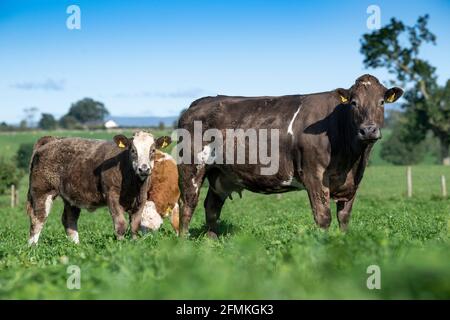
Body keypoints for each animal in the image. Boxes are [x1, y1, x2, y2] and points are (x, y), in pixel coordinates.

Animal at [26, 131, 171, 245]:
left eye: (153, 150)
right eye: (133, 150)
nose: (144, 169)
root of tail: (53, 140)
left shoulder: (141, 199)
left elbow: (135, 225)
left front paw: (134, 245)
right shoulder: (112, 196)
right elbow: (121, 224)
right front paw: (122, 246)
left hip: (70, 196)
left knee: (69, 219)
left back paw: (75, 246)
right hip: (41, 191)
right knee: (38, 218)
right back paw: (32, 247)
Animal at [177, 74, 404, 238]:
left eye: (382, 102)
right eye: (354, 103)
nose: (368, 130)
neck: (352, 160)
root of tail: (199, 102)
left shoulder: (353, 182)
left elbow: (344, 217)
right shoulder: (314, 176)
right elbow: (323, 217)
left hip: (221, 174)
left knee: (211, 207)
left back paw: (212, 243)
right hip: (191, 167)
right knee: (187, 204)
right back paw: (183, 244)